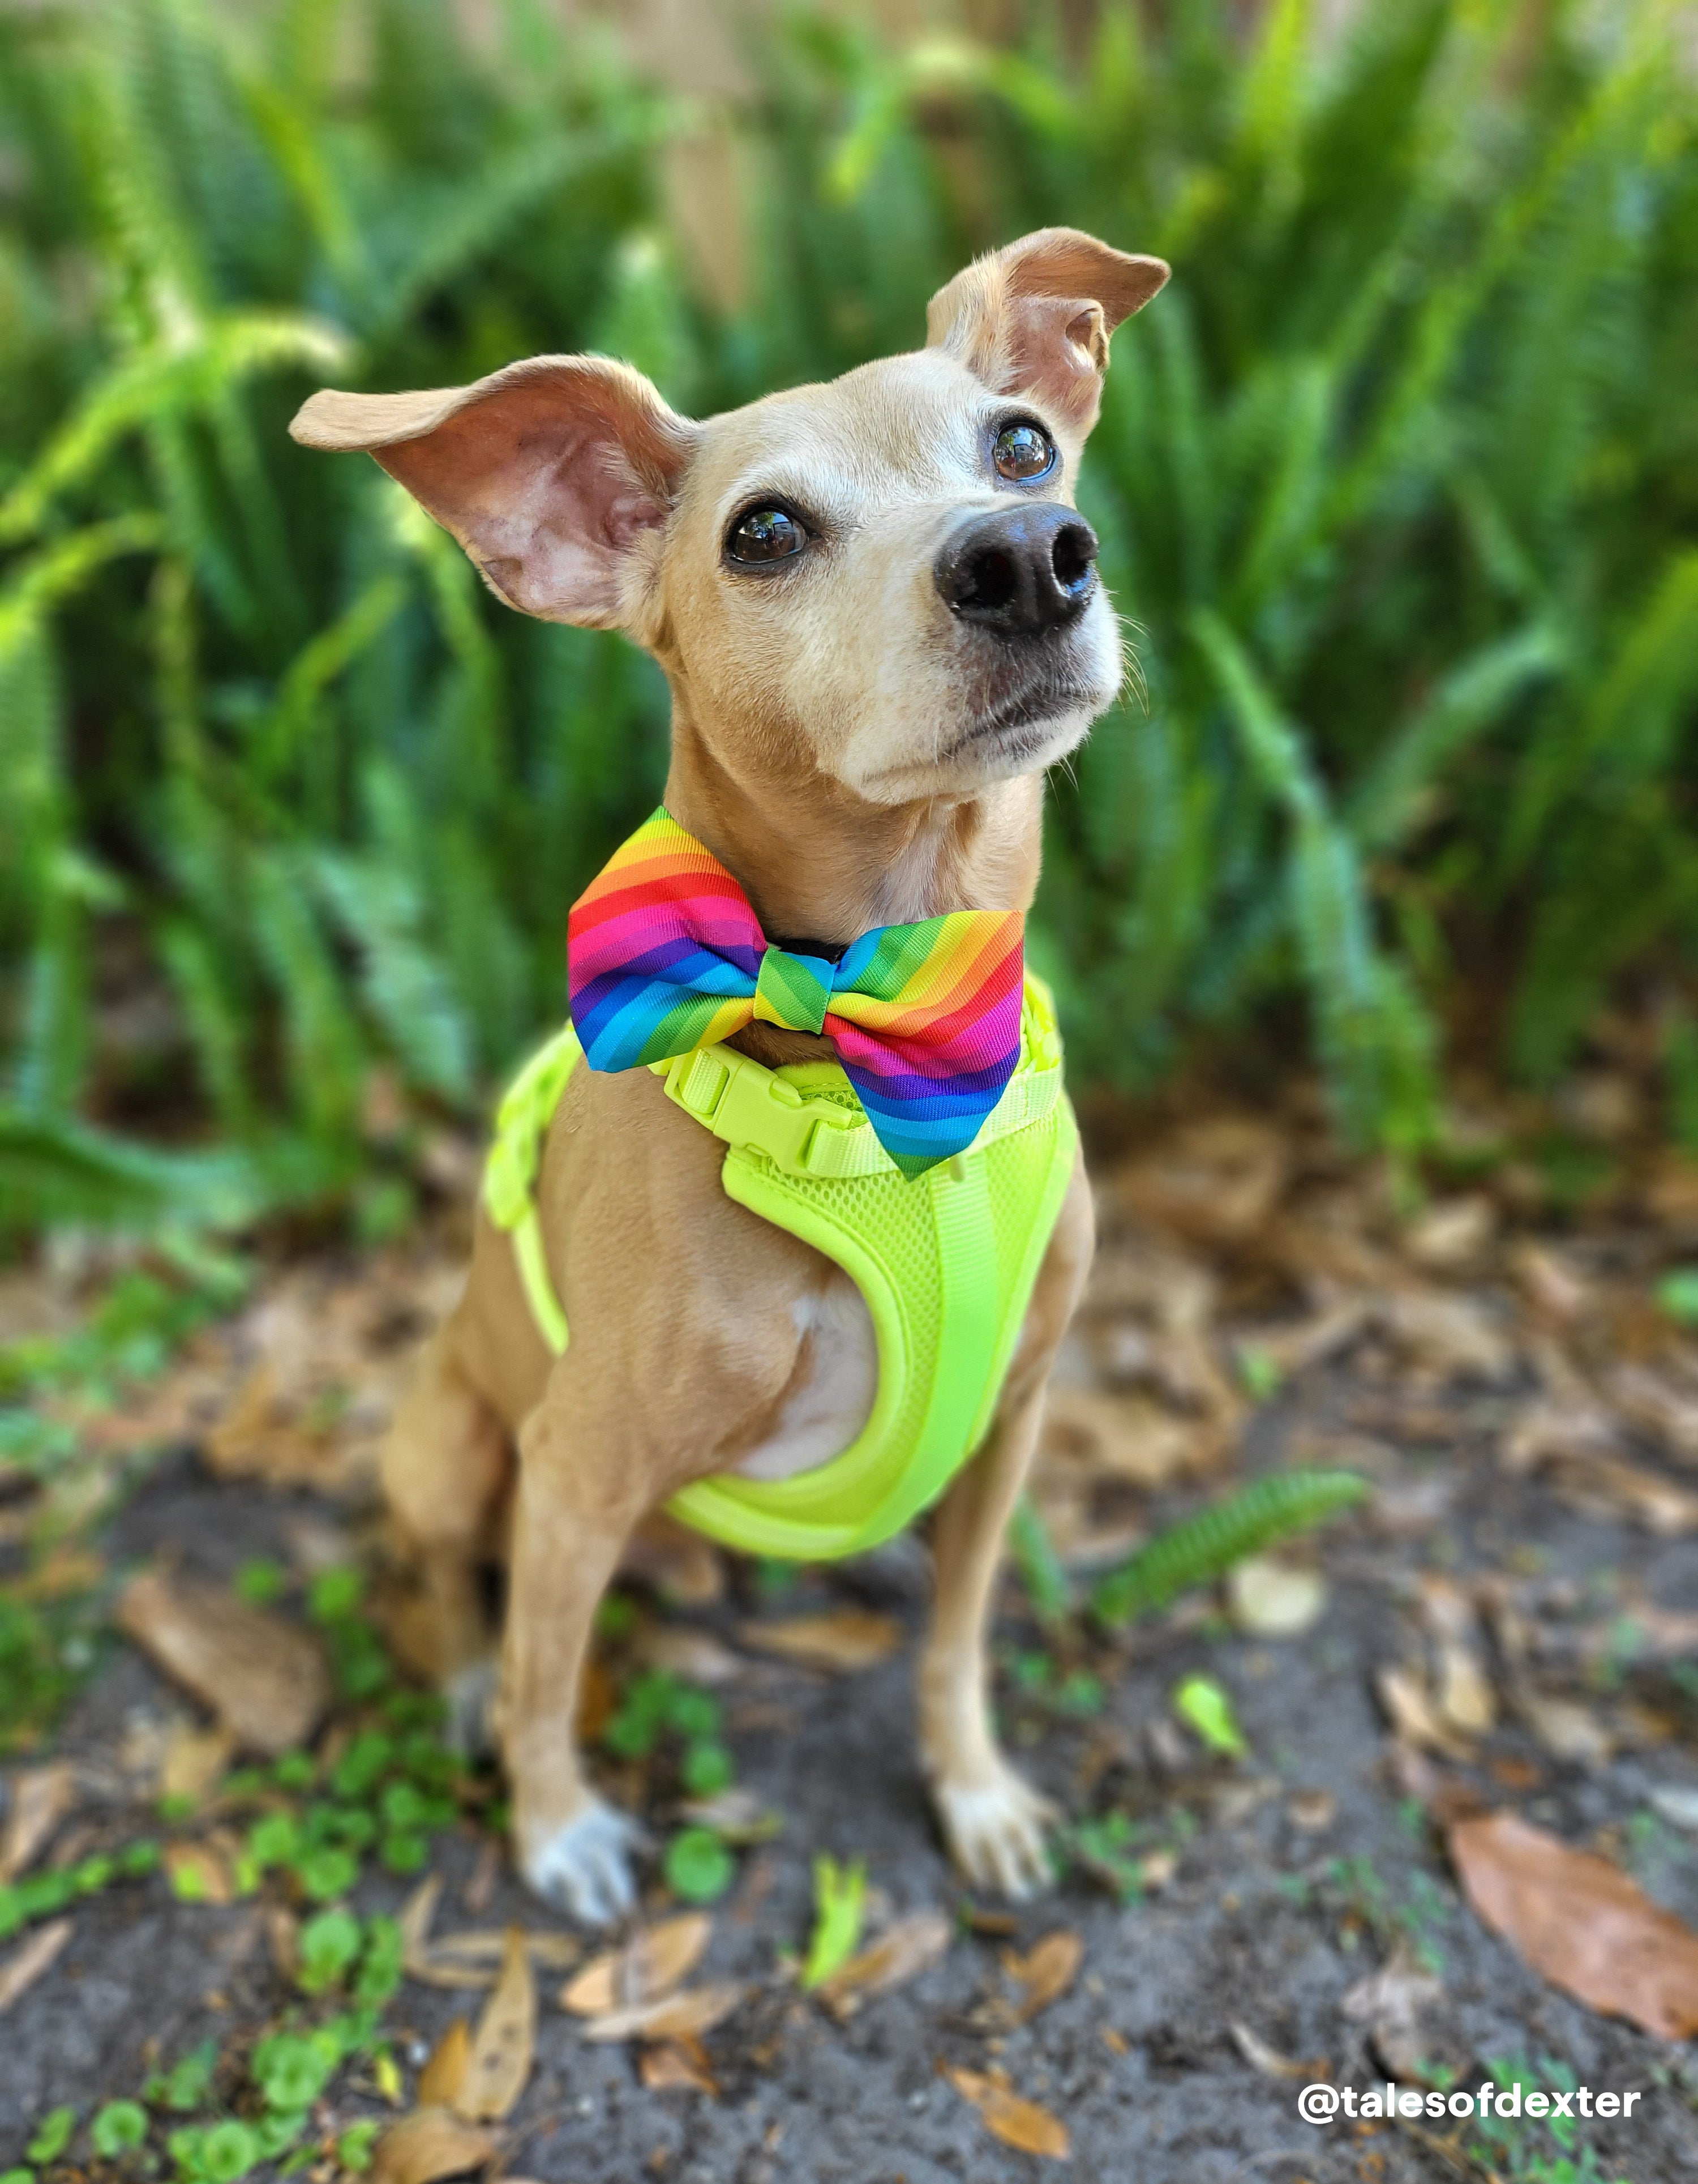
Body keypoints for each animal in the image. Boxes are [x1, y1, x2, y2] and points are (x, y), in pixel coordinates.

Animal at [290, 230, 1161, 1922]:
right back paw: (455, 1677)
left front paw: (971, 1790)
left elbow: (958, 1645)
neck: (859, 1045)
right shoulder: (571, 1469)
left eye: (1022, 444)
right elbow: (544, 1678)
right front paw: (553, 1823)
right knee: (449, 1586)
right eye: (763, 533)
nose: (1030, 557)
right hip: (452, 1441)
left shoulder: (1014, 1419)